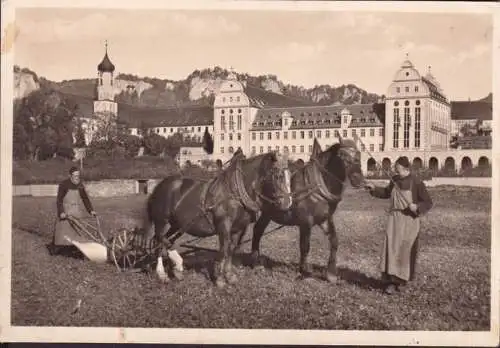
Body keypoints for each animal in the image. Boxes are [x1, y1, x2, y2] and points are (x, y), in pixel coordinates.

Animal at [144, 151, 292, 286]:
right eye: (278, 176)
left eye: (290, 175)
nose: (288, 202)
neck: (235, 193)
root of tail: (160, 185)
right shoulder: (224, 225)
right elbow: (223, 250)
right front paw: (220, 280)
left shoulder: (237, 228)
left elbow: (231, 249)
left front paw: (230, 276)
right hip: (162, 221)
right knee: (160, 240)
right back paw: (164, 272)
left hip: (177, 224)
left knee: (165, 240)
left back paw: (176, 270)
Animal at [248, 136, 366, 282]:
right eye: (342, 155)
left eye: (359, 154)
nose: (359, 180)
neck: (317, 186)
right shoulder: (305, 222)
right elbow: (305, 246)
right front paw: (304, 271)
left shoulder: (325, 219)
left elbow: (334, 241)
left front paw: (331, 273)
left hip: (267, 213)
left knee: (258, 230)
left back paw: (256, 261)